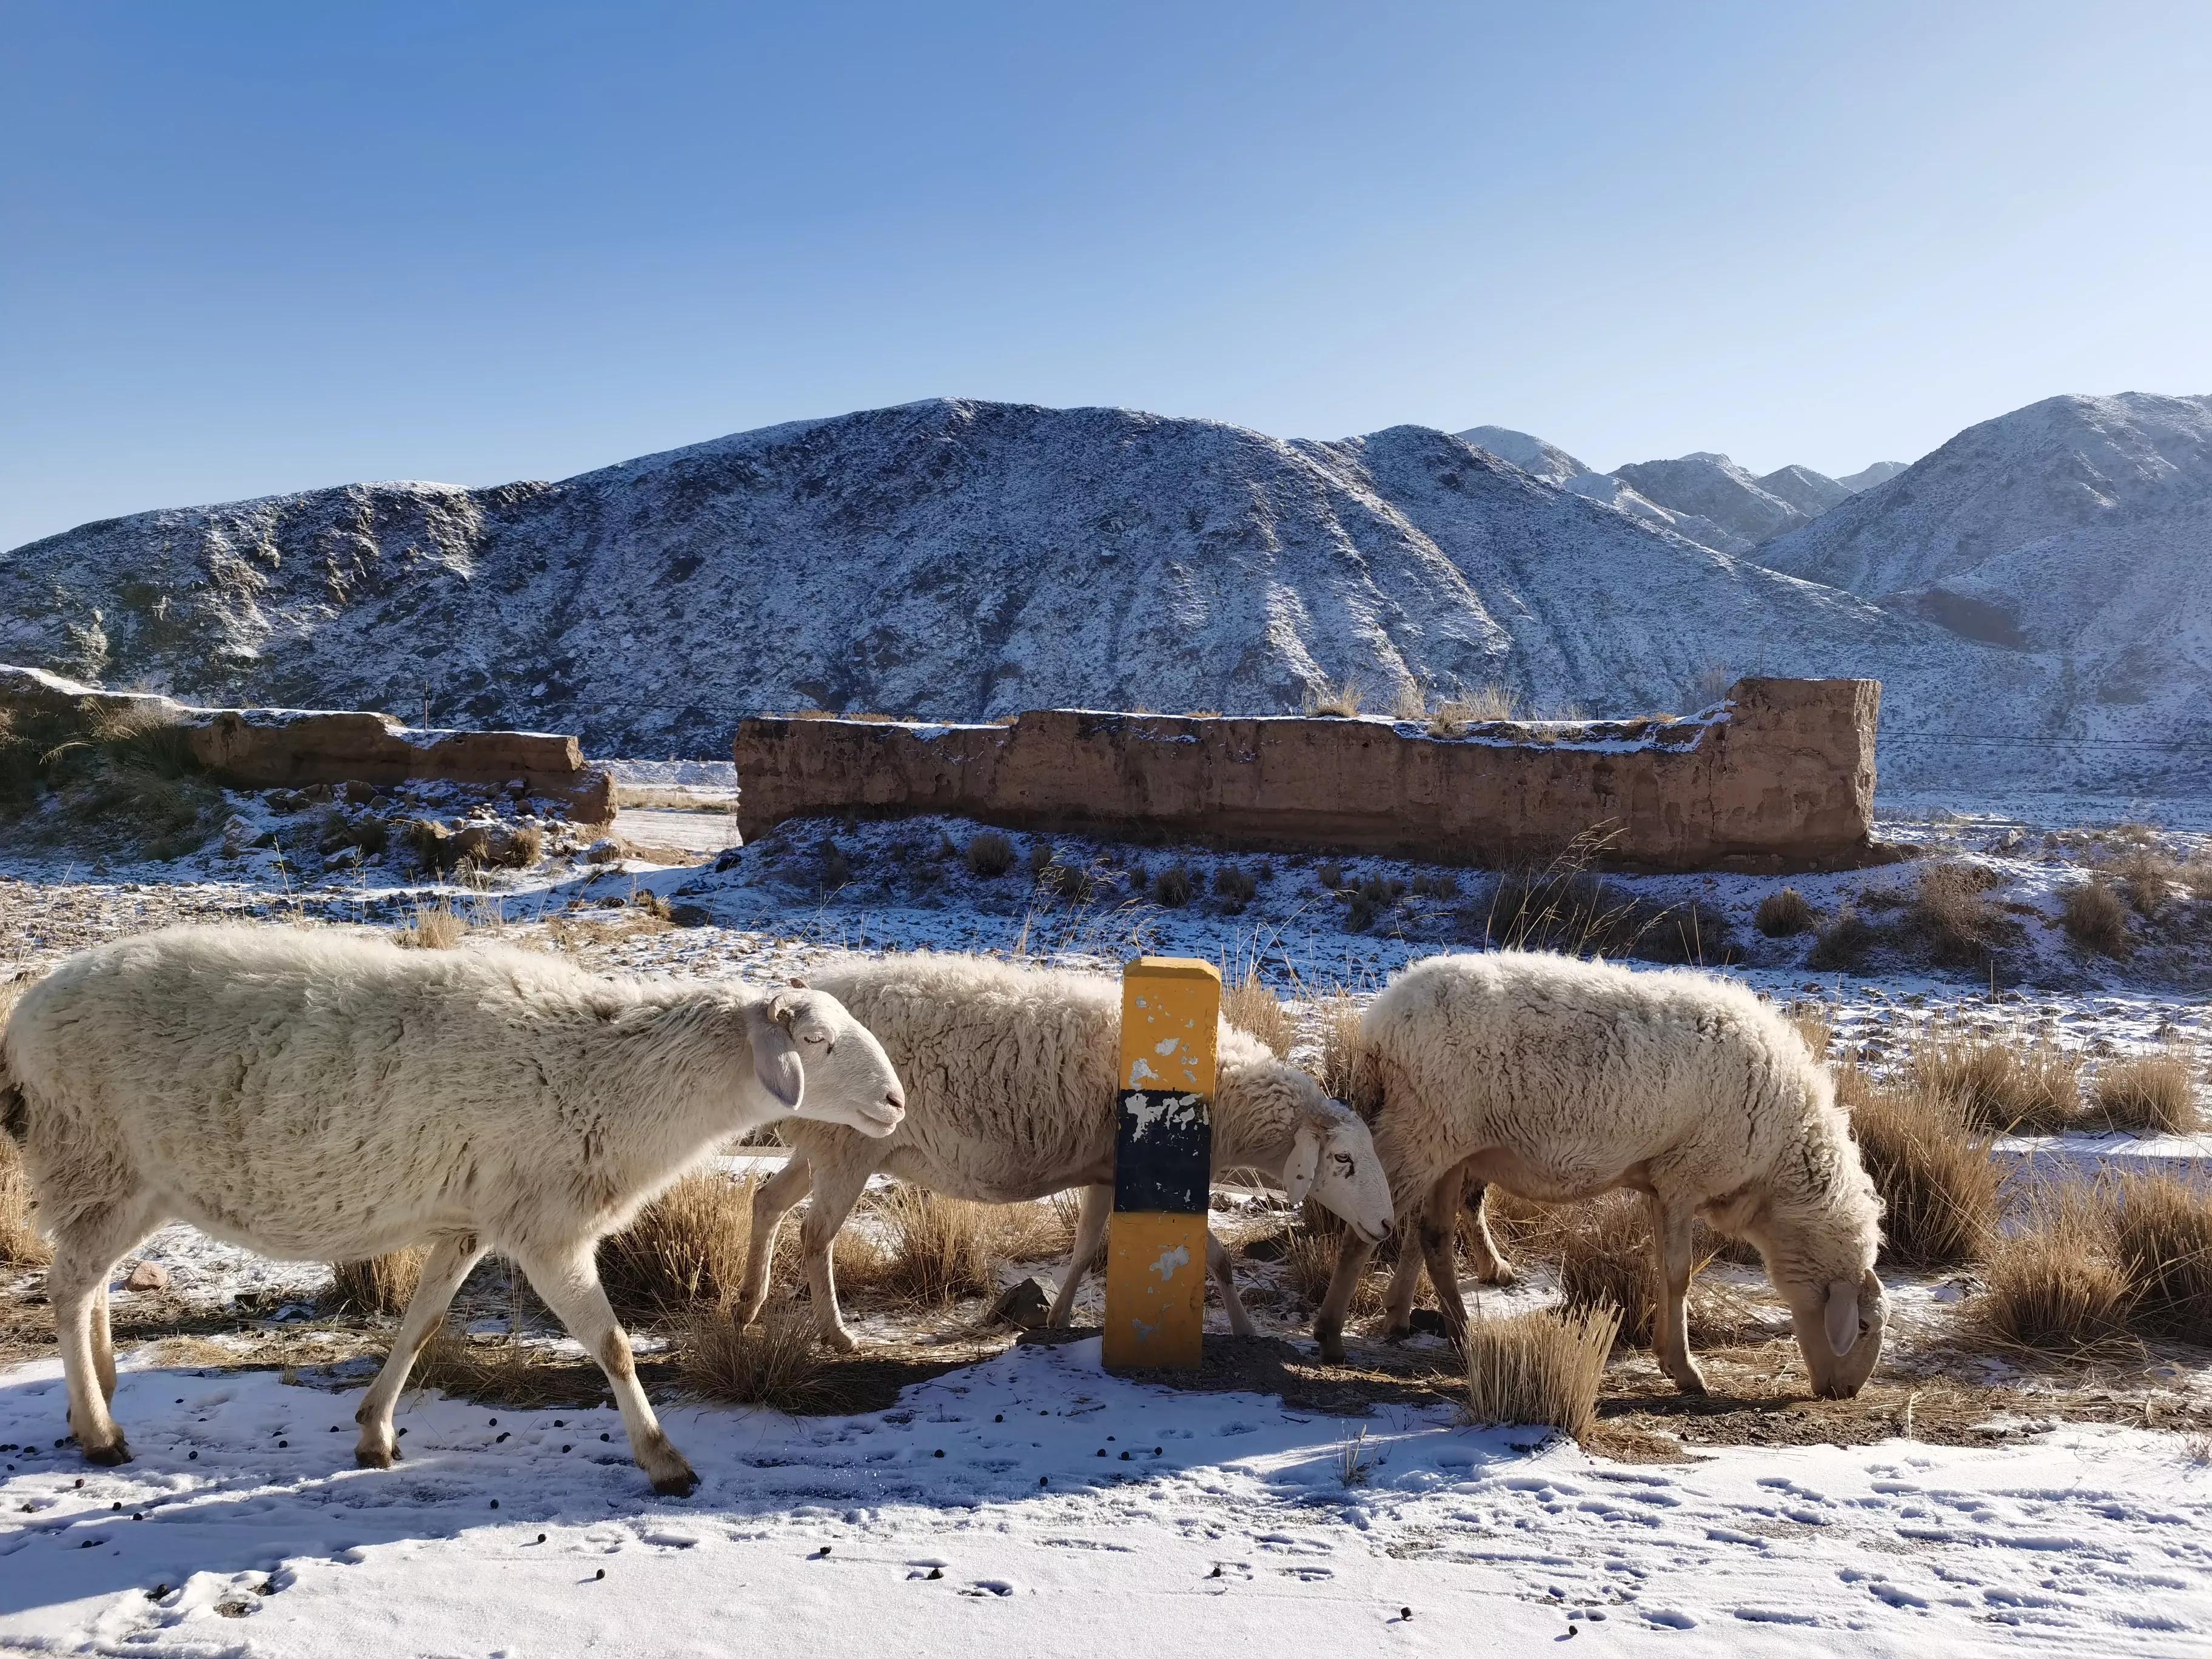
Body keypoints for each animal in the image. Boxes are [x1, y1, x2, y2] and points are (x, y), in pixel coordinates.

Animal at [4, 924, 907, 1495]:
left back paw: (101, 1393)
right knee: (69, 1283)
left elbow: (423, 1322)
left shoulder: (473, 1219)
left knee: (90, 1280)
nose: (897, 1102)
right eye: (817, 1043)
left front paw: (375, 1431)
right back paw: (100, 1433)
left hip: (129, 1181)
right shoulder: (546, 1229)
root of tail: (29, 1009)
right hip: (99, 1155)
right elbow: (613, 1347)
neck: (616, 1076)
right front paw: (664, 1459)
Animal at [734, 960, 1389, 1353]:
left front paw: (1060, 1316)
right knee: (816, 1235)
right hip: (849, 1147)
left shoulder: (1107, 1171)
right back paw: (836, 1334)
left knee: (767, 1200)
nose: (1385, 1225)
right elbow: (1219, 1258)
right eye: (1344, 1162)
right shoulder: (1139, 1170)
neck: (1220, 1096)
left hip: (823, 1145)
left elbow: (1085, 1245)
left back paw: (747, 1306)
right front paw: (1247, 1329)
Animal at [1309, 947, 1885, 1407]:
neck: (1776, 1173)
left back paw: (1438, 1326)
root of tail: (1378, 1024)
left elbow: (1663, 1270)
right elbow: (1679, 1274)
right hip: (1423, 1128)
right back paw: (1332, 1334)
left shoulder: (1662, 1183)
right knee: (1371, 1226)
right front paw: (1685, 1371)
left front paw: (1668, 1355)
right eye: (1862, 1325)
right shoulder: (1686, 1176)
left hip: (1444, 1139)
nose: (1846, 1393)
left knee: (1429, 1234)